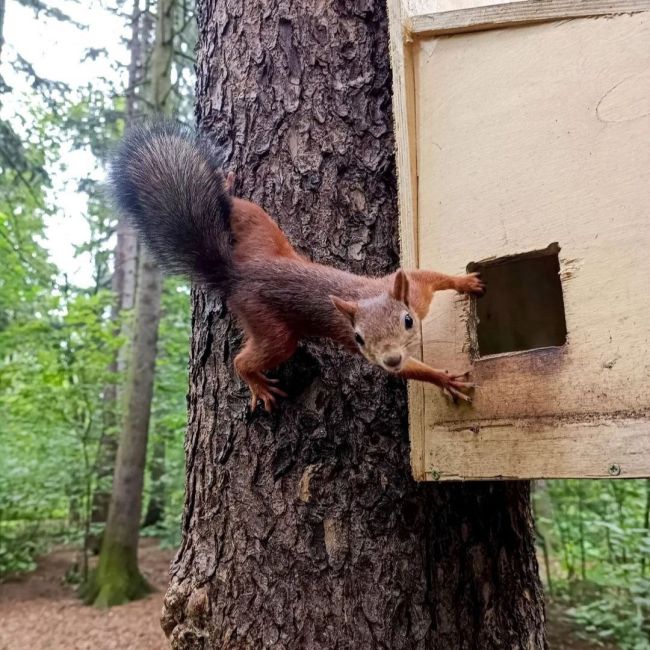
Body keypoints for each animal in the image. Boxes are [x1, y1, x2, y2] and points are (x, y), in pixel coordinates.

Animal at [111, 121, 484, 410]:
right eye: (359, 338)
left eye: (407, 321)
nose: (390, 359)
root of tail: (237, 275)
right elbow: (413, 370)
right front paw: (443, 379)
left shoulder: (416, 290)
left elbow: (433, 277)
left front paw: (466, 283)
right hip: (271, 327)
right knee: (245, 359)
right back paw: (258, 384)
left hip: (260, 230)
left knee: (238, 207)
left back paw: (226, 186)